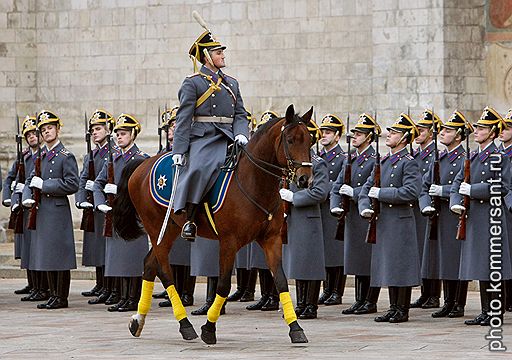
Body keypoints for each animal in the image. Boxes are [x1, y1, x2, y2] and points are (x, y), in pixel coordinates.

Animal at [112, 103, 312, 344]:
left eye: (310, 140)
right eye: (290, 140)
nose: (305, 179)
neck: (254, 181)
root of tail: (144, 164)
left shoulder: (271, 239)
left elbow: (281, 281)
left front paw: (296, 328)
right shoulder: (228, 242)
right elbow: (223, 285)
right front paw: (209, 328)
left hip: (169, 229)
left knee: (150, 265)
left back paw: (139, 320)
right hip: (157, 227)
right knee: (164, 271)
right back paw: (185, 324)